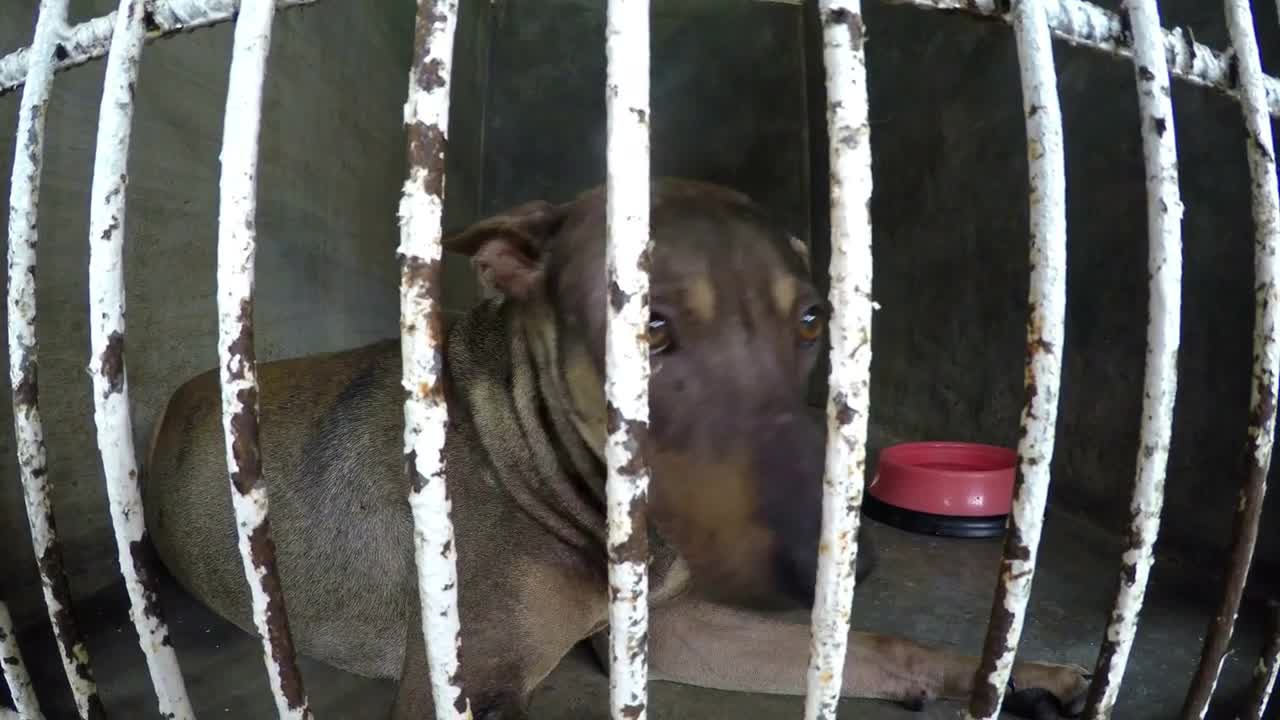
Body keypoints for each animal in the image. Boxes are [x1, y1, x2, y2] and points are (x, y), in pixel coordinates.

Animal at [142, 176, 1090, 712]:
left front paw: (1021, 676)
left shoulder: (667, 628)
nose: (836, 559)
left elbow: (877, 648)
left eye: (813, 318)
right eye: (649, 329)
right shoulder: (465, 682)